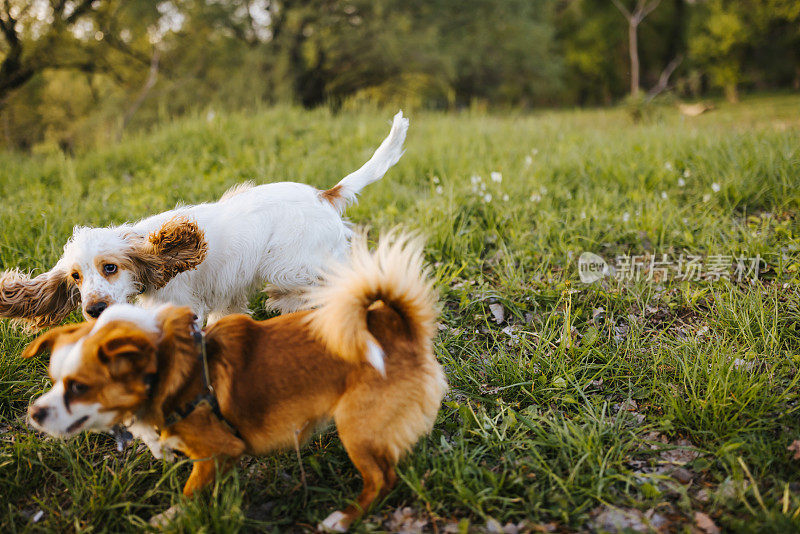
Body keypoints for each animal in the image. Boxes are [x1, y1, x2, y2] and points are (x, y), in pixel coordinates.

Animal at [0, 112, 410, 326]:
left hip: (287, 266)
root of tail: (324, 194)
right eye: (75, 277)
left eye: (110, 268)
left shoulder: (185, 308)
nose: (94, 310)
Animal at [25, 234, 446, 532]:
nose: (34, 413)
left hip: (356, 426)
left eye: (79, 387)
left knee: (382, 478)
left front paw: (170, 517)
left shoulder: (220, 449)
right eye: (55, 380)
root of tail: (400, 330)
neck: (170, 369)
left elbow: (191, 489)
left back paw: (342, 518)